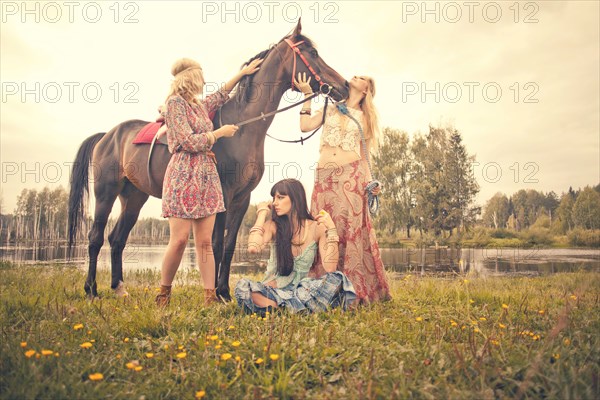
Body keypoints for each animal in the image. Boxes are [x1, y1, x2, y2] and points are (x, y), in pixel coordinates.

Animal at [68, 20, 350, 298]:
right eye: (312, 53)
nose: (344, 86)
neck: (244, 126)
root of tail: (108, 136)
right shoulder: (223, 194)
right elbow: (215, 243)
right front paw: (217, 292)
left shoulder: (242, 198)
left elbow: (229, 244)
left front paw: (224, 291)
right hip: (106, 194)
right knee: (95, 238)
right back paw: (91, 289)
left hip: (134, 198)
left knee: (117, 239)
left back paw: (118, 287)